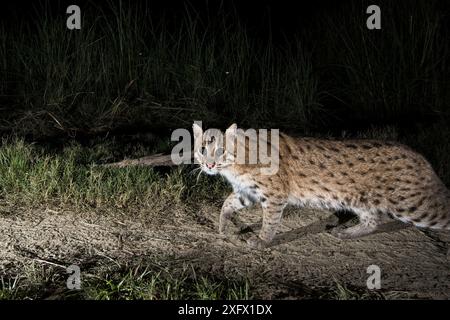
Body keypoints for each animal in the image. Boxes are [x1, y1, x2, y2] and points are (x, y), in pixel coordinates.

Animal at [193, 121, 450, 249]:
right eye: (202, 149)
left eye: (220, 150)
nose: (208, 165)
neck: (234, 166)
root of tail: (421, 157)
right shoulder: (248, 192)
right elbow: (227, 204)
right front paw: (223, 226)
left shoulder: (275, 195)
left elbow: (270, 222)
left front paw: (262, 241)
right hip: (362, 200)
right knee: (373, 221)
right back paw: (347, 232)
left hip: (411, 204)